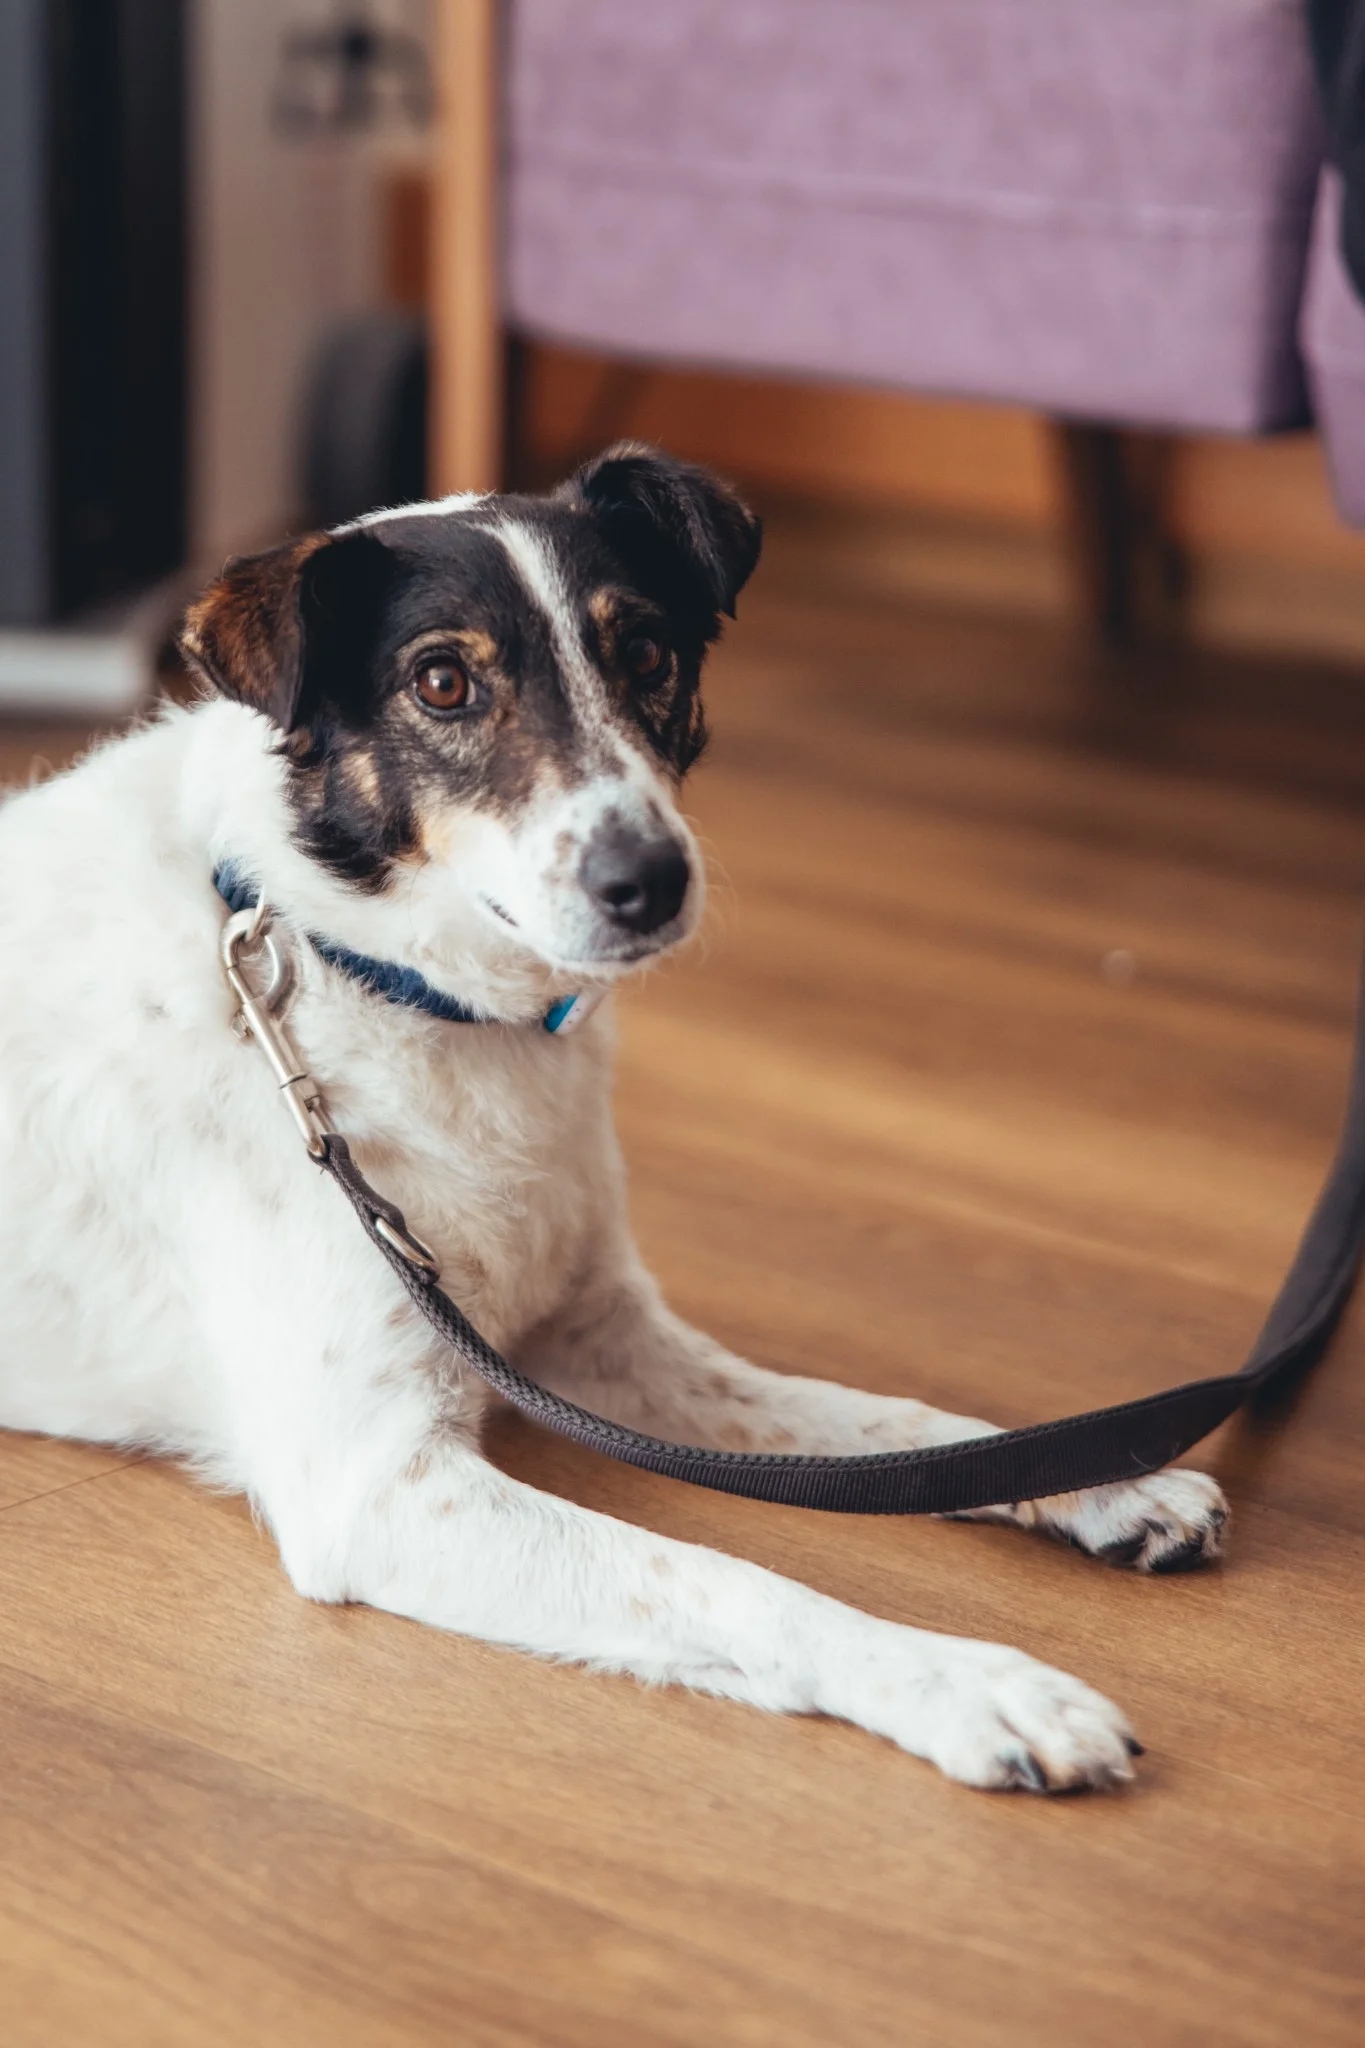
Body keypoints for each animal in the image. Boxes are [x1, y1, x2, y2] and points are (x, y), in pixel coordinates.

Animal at [0, 440, 1227, 1785]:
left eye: (643, 652)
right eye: (441, 682)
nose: (649, 881)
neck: (360, 977)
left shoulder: (598, 1339)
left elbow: (892, 1431)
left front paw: (1107, 1477)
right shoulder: (380, 1485)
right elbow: (736, 1580)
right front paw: (979, 1685)